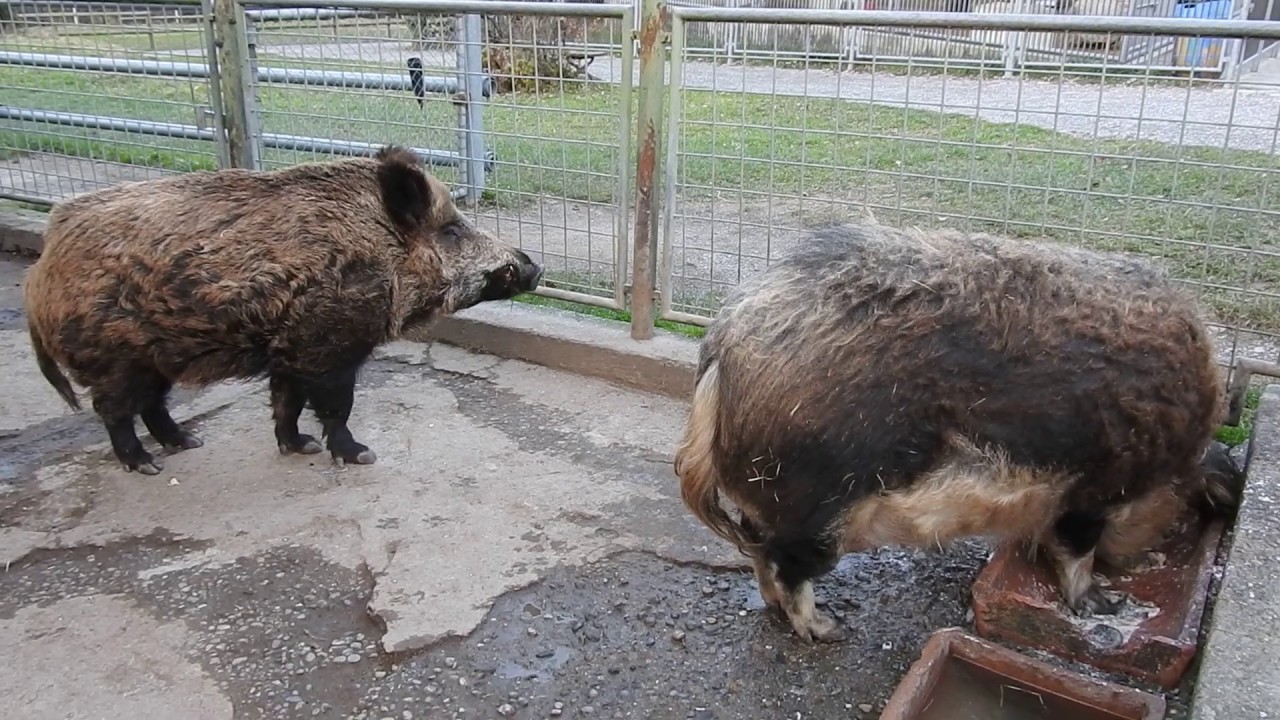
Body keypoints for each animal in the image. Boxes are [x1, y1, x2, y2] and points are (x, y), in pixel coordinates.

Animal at [25, 145, 542, 474]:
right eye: (452, 231)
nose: (533, 266)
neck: (383, 254)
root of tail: (41, 268)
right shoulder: (329, 345)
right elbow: (335, 407)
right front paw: (361, 456)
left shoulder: (291, 351)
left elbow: (286, 403)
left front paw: (300, 448)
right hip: (115, 357)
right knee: (112, 409)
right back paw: (146, 465)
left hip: (153, 358)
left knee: (152, 404)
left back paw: (188, 444)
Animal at [673, 221, 1243, 642]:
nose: (1143, 559)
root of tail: (723, 344)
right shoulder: (1091, 489)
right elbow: (1075, 551)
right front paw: (1101, 603)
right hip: (814, 506)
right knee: (786, 565)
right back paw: (828, 629)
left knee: (758, 552)